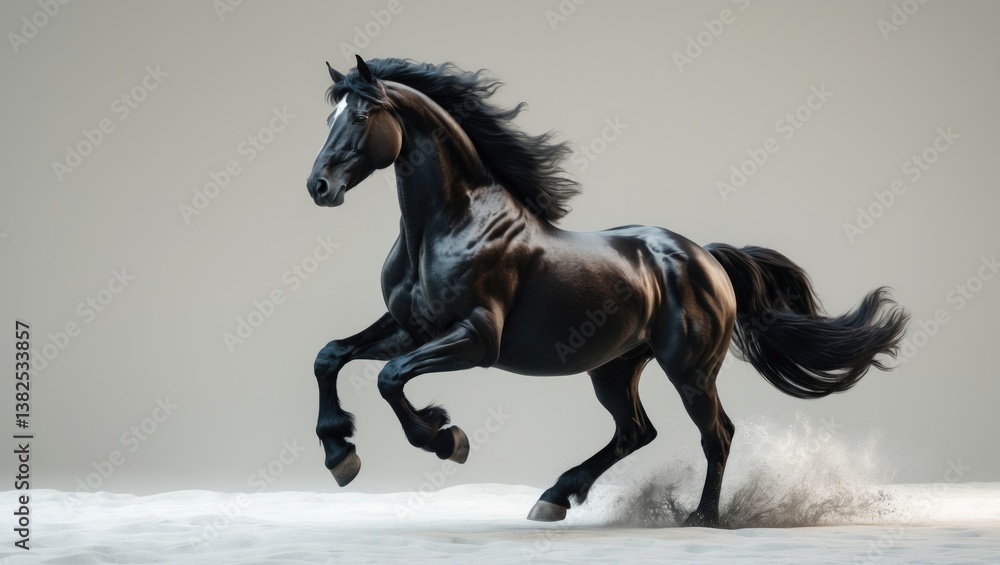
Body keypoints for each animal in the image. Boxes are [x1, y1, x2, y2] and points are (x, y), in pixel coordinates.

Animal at [305, 55, 909, 527]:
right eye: (329, 115)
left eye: (361, 115)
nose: (318, 186)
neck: (450, 226)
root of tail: (704, 256)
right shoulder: (411, 327)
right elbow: (330, 356)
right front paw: (340, 453)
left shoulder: (476, 338)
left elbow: (389, 378)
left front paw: (444, 438)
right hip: (615, 367)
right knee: (636, 432)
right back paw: (555, 497)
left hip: (689, 369)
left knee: (717, 434)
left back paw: (703, 517)